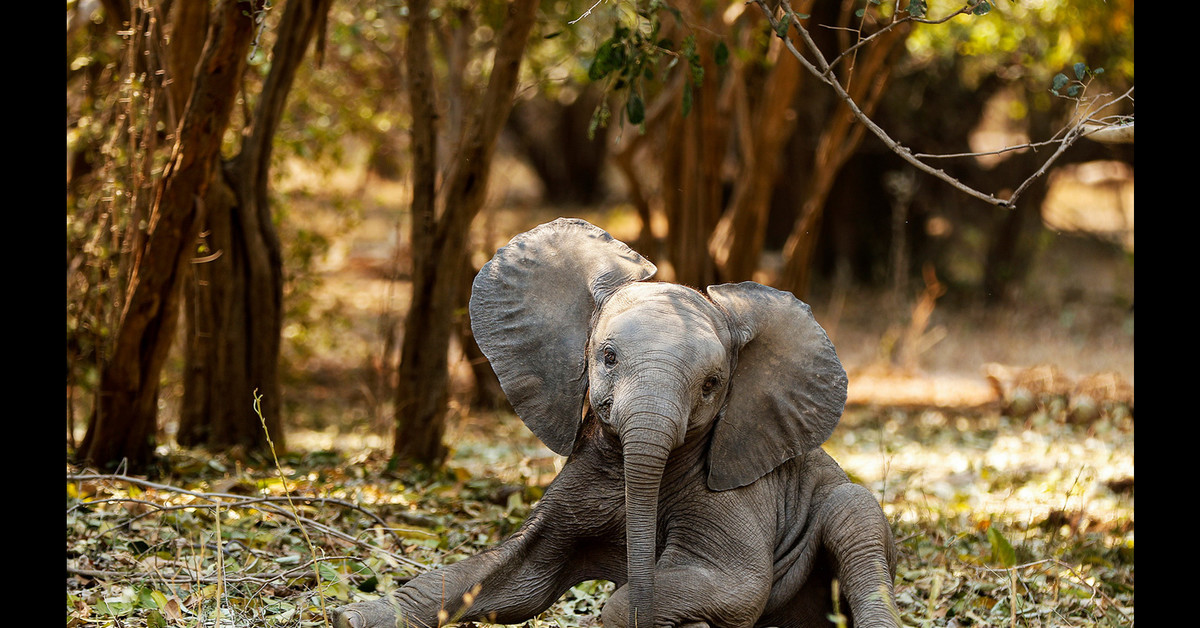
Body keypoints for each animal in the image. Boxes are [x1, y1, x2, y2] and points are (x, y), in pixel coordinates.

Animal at [333, 219, 897, 628]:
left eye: (712, 383)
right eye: (607, 357)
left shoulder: (737, 495)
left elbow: (733, 586)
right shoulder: (582, 471)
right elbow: (515, 576)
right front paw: (355, 616)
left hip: (850, 512)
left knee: (855, 520)